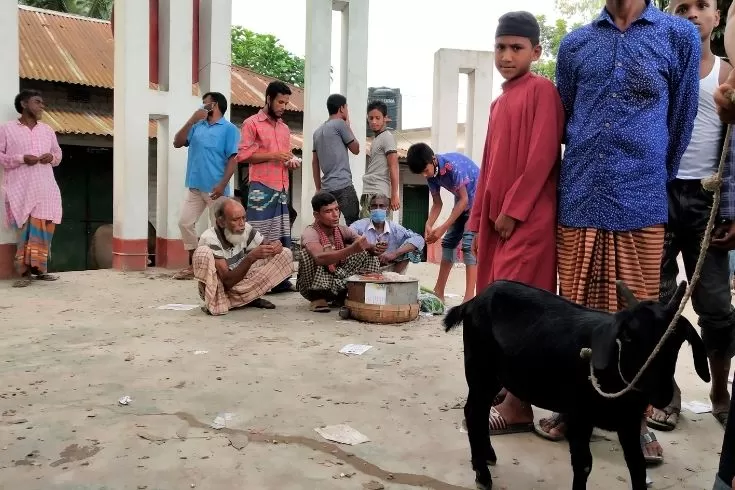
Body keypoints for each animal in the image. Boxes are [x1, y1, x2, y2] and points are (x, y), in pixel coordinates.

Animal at [446, 278, 712, 488]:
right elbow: (583, 465)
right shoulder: (580, 415)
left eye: (676, 341)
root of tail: (473, 301)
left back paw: (487, 456)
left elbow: (637, 467)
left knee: (480, 413)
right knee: (473, 412)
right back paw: (482, 473)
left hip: (495, 377)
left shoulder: (629, 422)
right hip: (479, 370)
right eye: (628, 337)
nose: (661, 393)